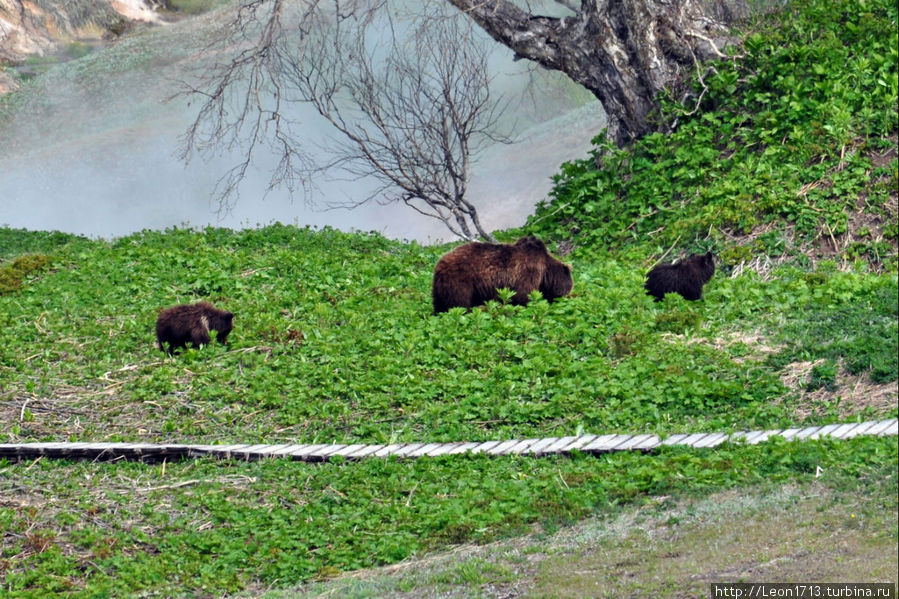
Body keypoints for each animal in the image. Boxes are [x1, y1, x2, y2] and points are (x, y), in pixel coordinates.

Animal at [428, 234, 568, 314]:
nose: (568, 297)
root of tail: (439, 265)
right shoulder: (527, 270)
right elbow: (523, 294)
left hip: (439, 287)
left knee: (439, 305)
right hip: (460, 280)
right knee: (459, 304)